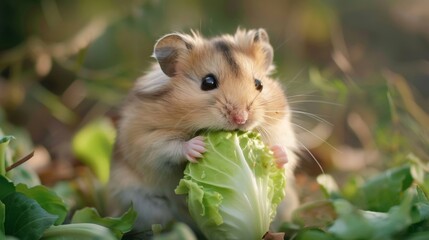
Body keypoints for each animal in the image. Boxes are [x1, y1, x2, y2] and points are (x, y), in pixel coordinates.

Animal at [108, 28, 298, 232]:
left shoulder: (281, 128)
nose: (241, 119)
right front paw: (198, 146)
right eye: (208, 82)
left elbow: (285, 151)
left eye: (259, 84)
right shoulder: (144, 138)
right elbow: (167, 147)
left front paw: (275, 153)